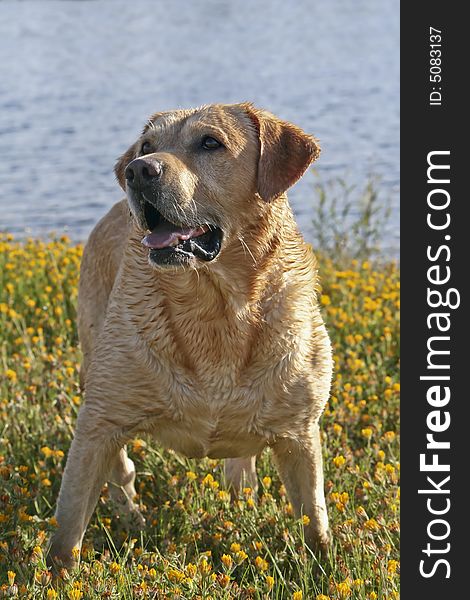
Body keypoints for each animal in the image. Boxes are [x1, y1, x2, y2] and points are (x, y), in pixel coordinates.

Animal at [47, 102, 332, 568]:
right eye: (146, 146)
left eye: (210, 142)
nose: (138, 170)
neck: (215, 309)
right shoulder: (99, 423)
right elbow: (68, 526)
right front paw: (56, 576)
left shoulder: (299, 432)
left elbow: (316, 521)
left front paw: (321, 571)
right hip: (96, 377)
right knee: (120, 472)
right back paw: (132, 518)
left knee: (241, 467)